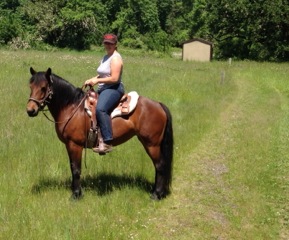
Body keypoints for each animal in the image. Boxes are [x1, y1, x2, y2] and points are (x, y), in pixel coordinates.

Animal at [25, 66, 172, 200]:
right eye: (30, 86)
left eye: (43, 87)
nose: (30, 110)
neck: (72, 107)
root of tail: (158, 104)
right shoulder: (68, 145)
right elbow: (72, 167)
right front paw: (75, 191)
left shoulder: (75, 145)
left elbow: (76, 169)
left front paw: (76, 194)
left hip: (151, 144)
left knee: (160, 166)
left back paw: (156, 194)